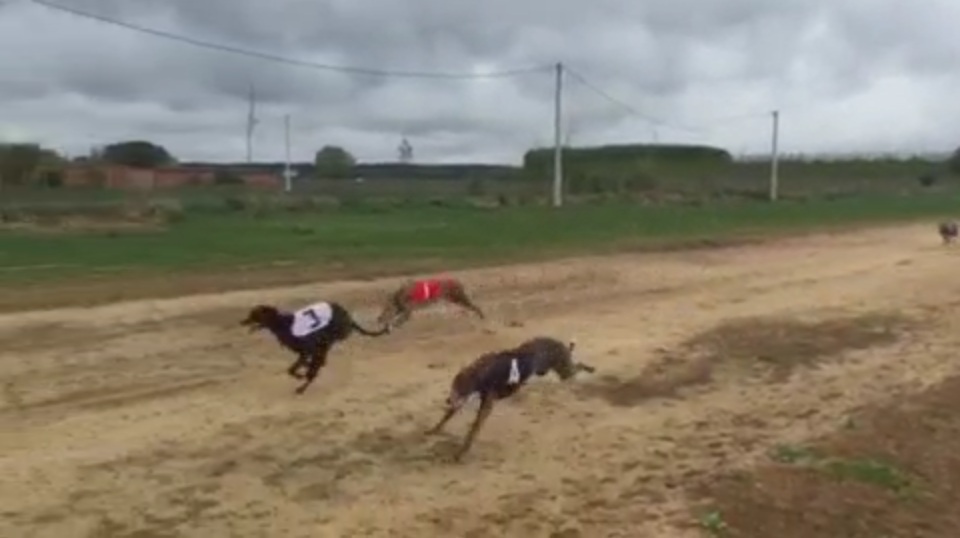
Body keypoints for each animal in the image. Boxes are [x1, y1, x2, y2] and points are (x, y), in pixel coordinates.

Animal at [242, 300, 388, 392]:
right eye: (250, 313)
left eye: (254, 314)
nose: (241, 322)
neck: (283, 324)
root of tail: (348, 316)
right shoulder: (305, 352)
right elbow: (296, 368)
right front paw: (303, 371)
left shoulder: (307, 350)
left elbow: (295, 369)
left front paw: (302, 376)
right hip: (325, 342)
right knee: (319, 360)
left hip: (328, 338)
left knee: (318, 362)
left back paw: (304, 383)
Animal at [426, 336, 592, 456]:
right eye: (453, 386)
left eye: (461, 387)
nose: (448, 399)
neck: (481, 372)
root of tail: (558, 342)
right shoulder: (462, 402)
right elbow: (446, 417)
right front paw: (433, 430)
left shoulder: (485, 405)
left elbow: (473, 429)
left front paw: (462, 451)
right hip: (551, 371)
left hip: (565, 370)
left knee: (577, 367)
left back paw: (589, 370)